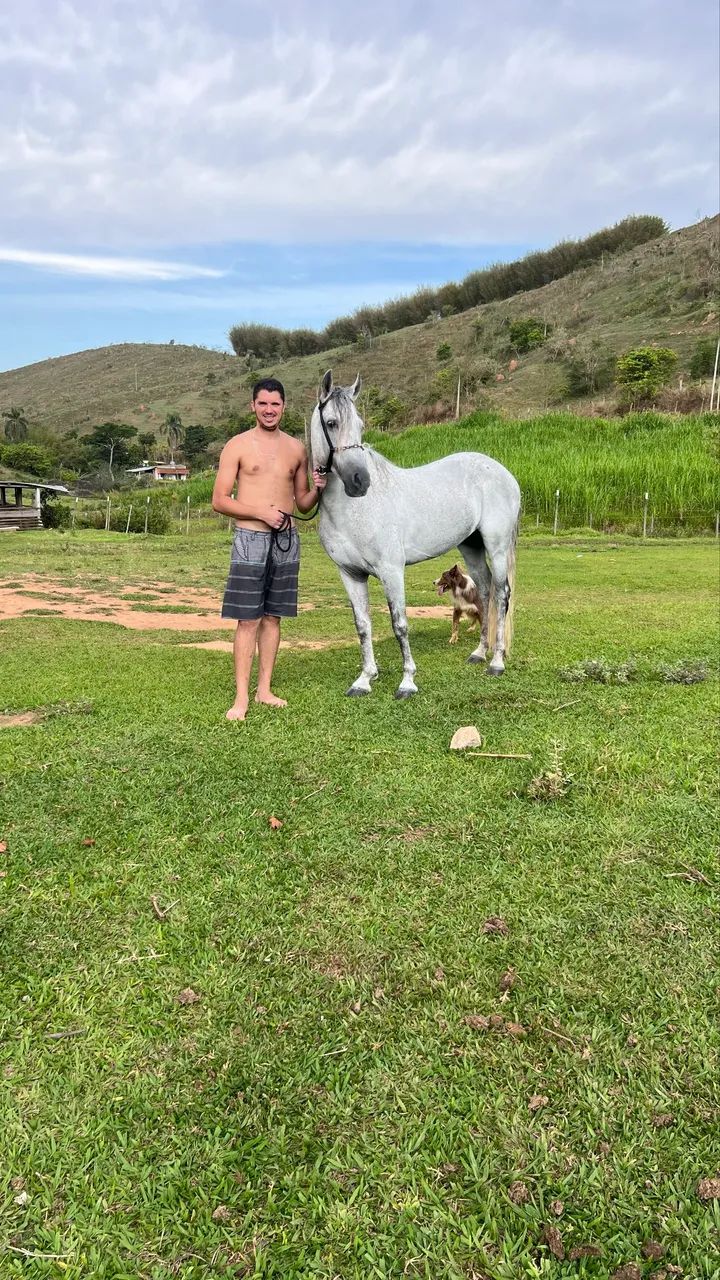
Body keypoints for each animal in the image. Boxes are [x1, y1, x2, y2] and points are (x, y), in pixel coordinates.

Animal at [310, 371, 521, 699]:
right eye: (331, 423)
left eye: (360, 425)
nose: (360, 482)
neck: (353, 509)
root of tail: (503, 473)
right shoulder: (350, 574)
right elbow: (363, 625)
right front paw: (364, 679)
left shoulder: (391, 571)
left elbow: (400, 624)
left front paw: (407, 682)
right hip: (471, 546)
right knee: (485, 591)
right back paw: (478, 653)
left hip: (496, 546)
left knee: (501, 594)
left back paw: (496, 662)